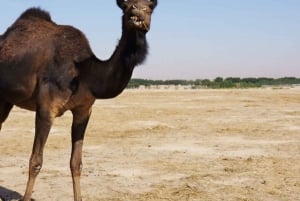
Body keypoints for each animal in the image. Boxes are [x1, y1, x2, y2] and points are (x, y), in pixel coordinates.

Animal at [0, 0, 158, 200]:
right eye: (125, 6)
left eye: (150, 6)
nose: (137, 13)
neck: (85, 74)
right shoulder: (46, 108)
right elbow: (35, 162)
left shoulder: (84, 110)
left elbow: (76, 163)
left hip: (7, 99)